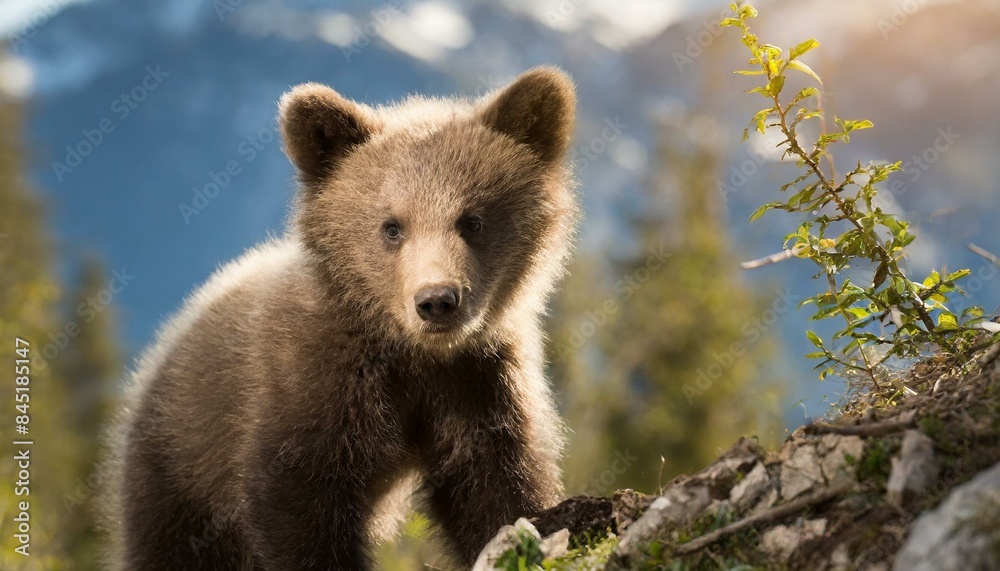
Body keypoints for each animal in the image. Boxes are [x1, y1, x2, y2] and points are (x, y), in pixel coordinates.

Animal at [102, 66, 579, 570]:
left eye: (472, 220)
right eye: (392, 226)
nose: (436, 300)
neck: (408, 352)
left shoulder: (477, 382)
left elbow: (495, 486)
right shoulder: (310, 388)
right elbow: (300, 507)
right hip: (180, 467)